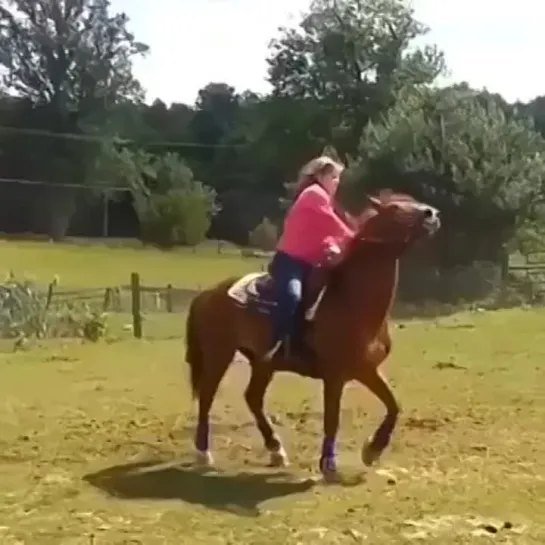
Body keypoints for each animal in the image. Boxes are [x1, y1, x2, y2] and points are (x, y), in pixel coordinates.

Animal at [185, 189, 440, 478]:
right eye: (395, 207)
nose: (431, 214)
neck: (352, 300)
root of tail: (207, 294)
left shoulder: (366, 369)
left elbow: (394, 405)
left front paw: (372, 450)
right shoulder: (335, 376)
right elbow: (332, 418)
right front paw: (329, 463)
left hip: (262, 362)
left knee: (252, 398)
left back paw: (276, 450)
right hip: (219, 354)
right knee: (207, 396)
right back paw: (204, 453)